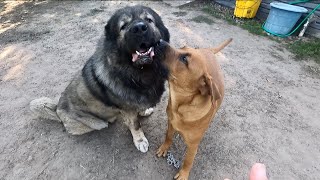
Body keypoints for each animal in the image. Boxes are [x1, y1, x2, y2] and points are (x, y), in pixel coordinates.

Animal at [30, 5, 170, 153]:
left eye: (149, 20)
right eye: (123, 26)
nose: (138, 28)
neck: (136, 73)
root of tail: (57, 108)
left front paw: (144, 111)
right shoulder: (127, 110)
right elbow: (135, 125)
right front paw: (140, 141)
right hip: (97, 123)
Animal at [156, 38, 231, 179]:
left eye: (185, 59)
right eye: (182, 47)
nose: (159, 41)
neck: (180, 106)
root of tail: (208, 51)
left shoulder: (193, 146)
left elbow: (188, 161)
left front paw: (183, 174)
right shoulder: (170, 123)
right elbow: (168, 136)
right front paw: (164, 147)